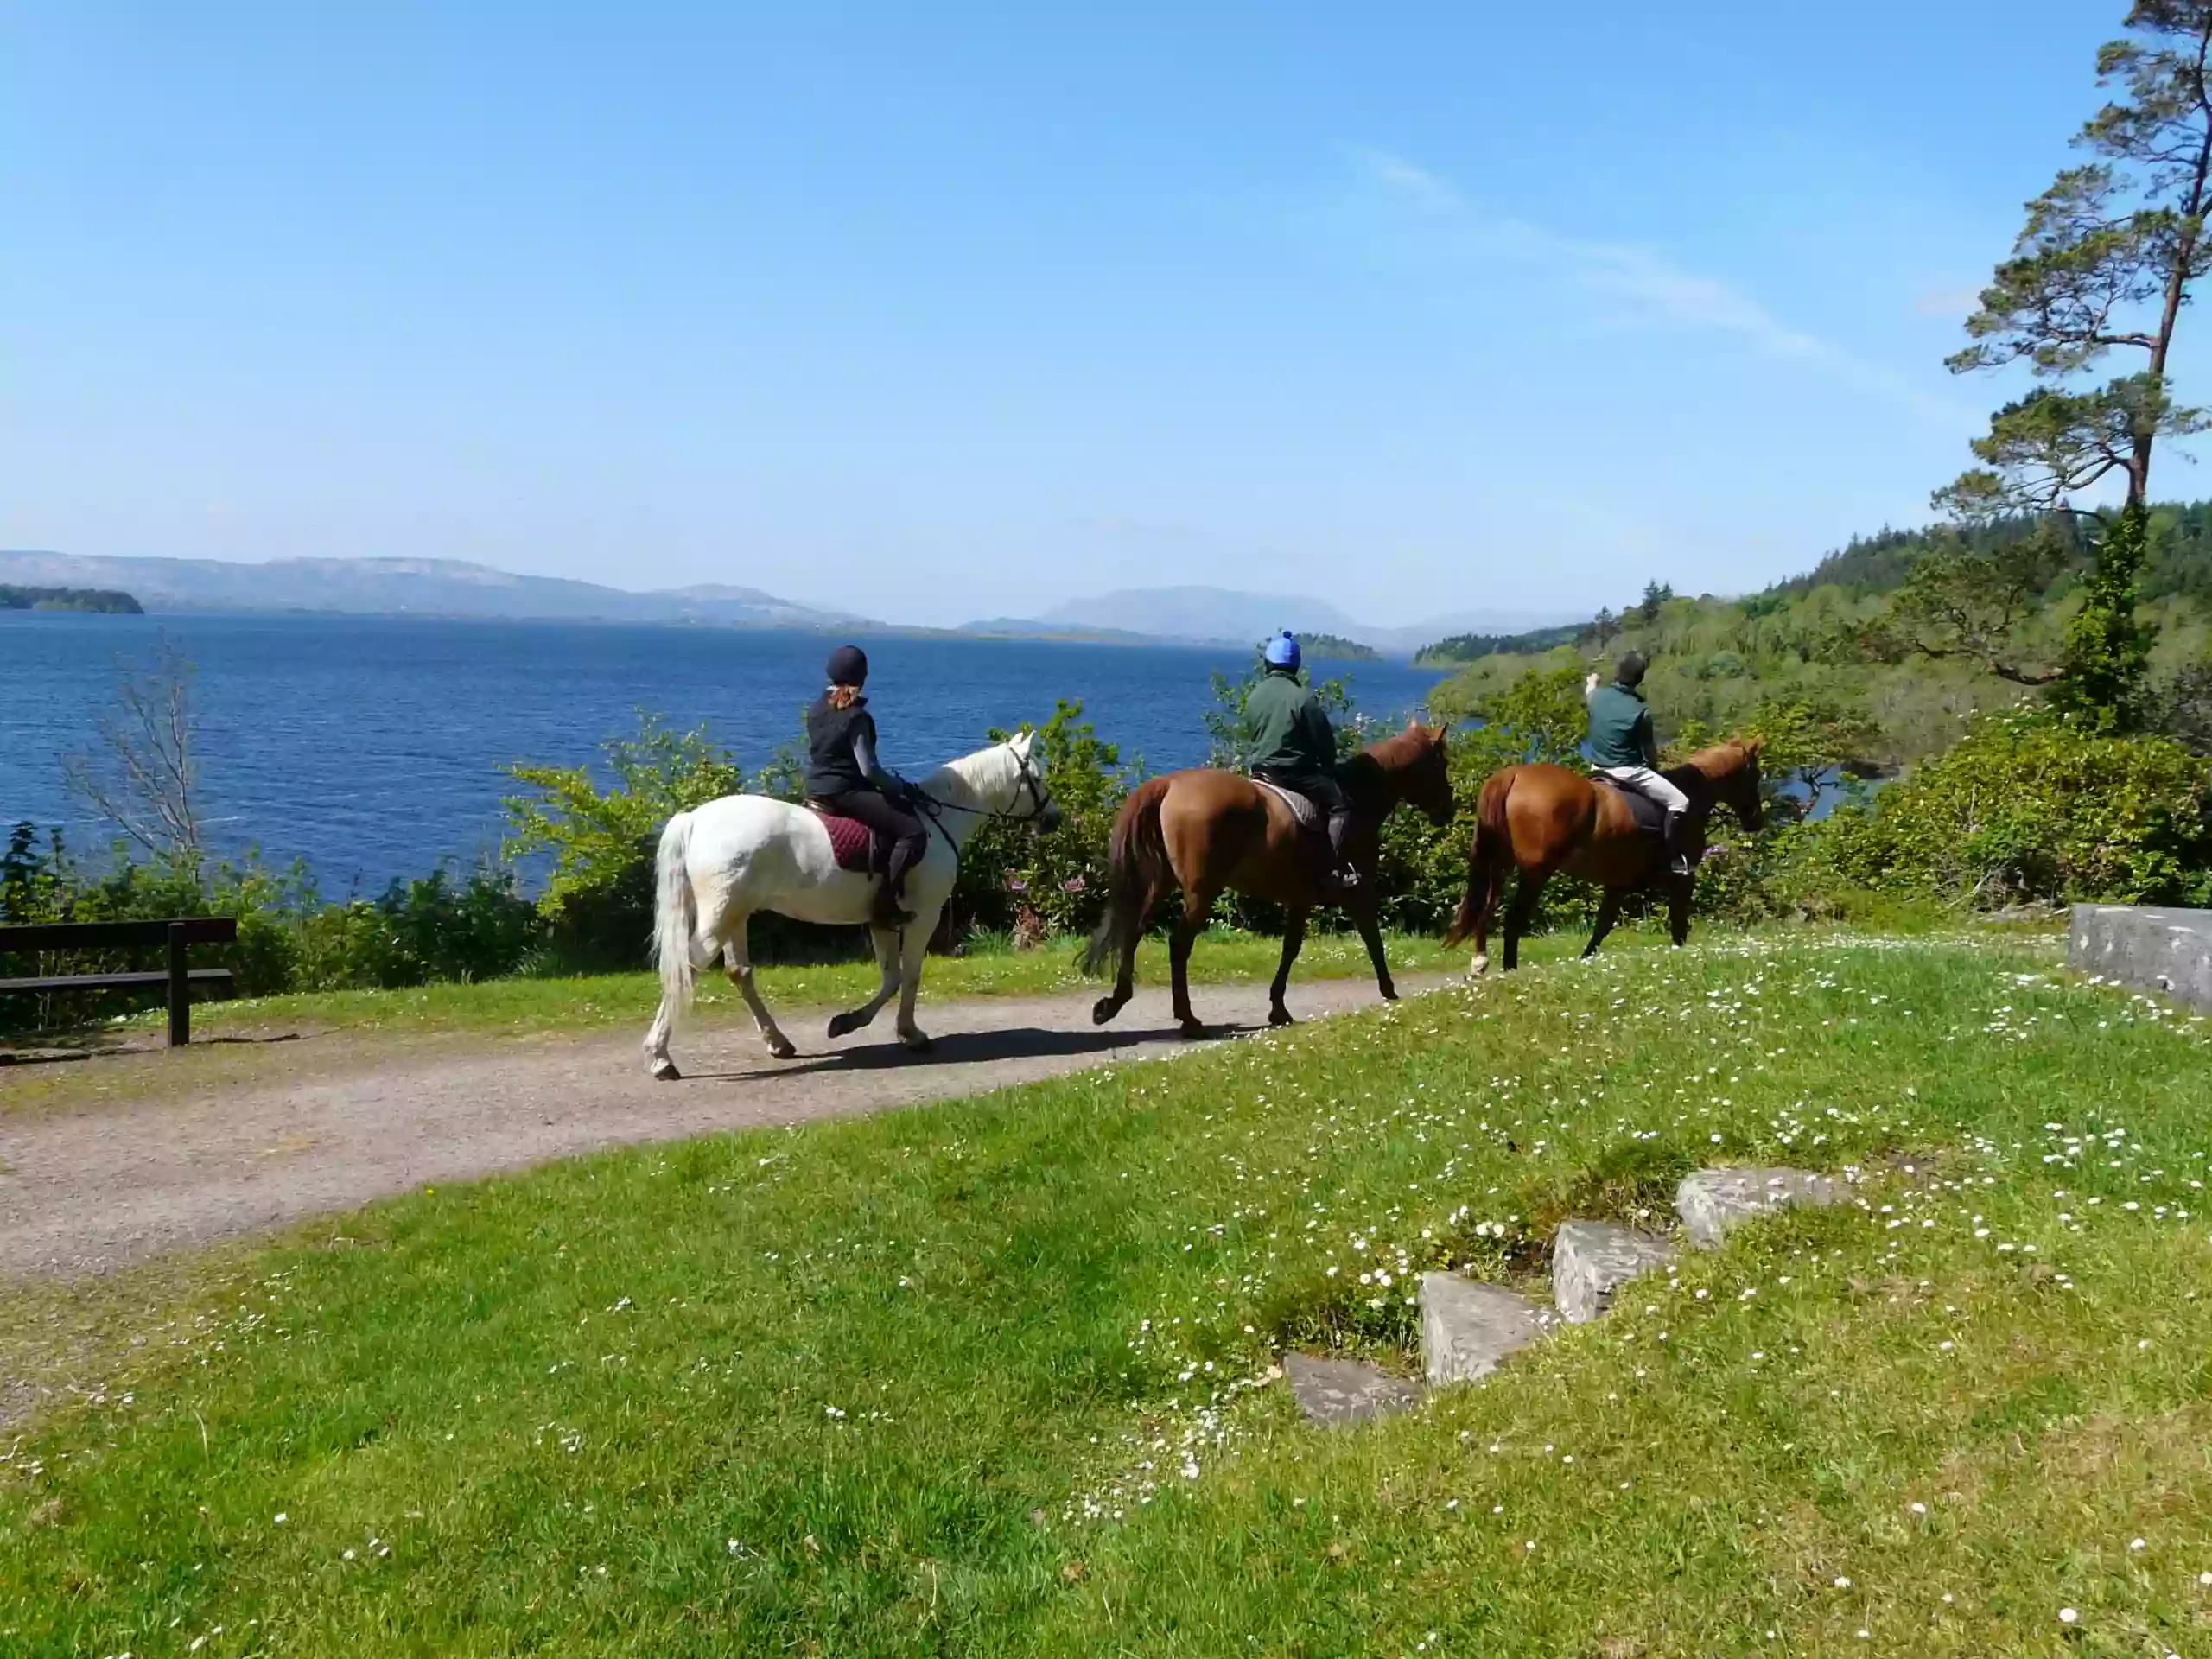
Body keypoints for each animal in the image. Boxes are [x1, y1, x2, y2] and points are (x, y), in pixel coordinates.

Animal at [637, 734, 1057, 1084]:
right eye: (1036, 777)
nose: (1054, 819)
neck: (937, 822)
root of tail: (694, 819)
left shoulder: (882, 922)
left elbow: (891, 977)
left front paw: (847, 1023)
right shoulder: (923, 916)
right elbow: (910, 976)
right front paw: (911, 1034)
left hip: (734, 916)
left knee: (739, 973)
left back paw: (778, 1043)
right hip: (720, 917)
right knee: (688, 969)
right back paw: (660, 1058)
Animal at [1084, 725, 1459, 1039]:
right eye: (1440, 764)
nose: (1449, 810)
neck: (1361, 797)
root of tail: (1172, 784)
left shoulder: (1300, 899)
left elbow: (1290, 949)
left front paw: (1278, 1008)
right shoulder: (1358, 891)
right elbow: (1372, 939)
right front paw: (1390, 991)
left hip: (1161, 883)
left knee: (1134, 930)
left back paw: (1113, 1004)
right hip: (1201, 891)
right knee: (1179, 944)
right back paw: (1188, 1020)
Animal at [1442, 739, 1770, 973]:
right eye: (1754, 774)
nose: (1756, 821)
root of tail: (1515, 774)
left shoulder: (1618, 884)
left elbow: (1602, 926)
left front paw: (1585, 962)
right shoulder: (1681, 880)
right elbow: (1678, 925)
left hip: (1502, 864)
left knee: (1487, 908)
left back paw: (1480, 962)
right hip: (1536, 871)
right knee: (1513, 919)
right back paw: (1510, 970)